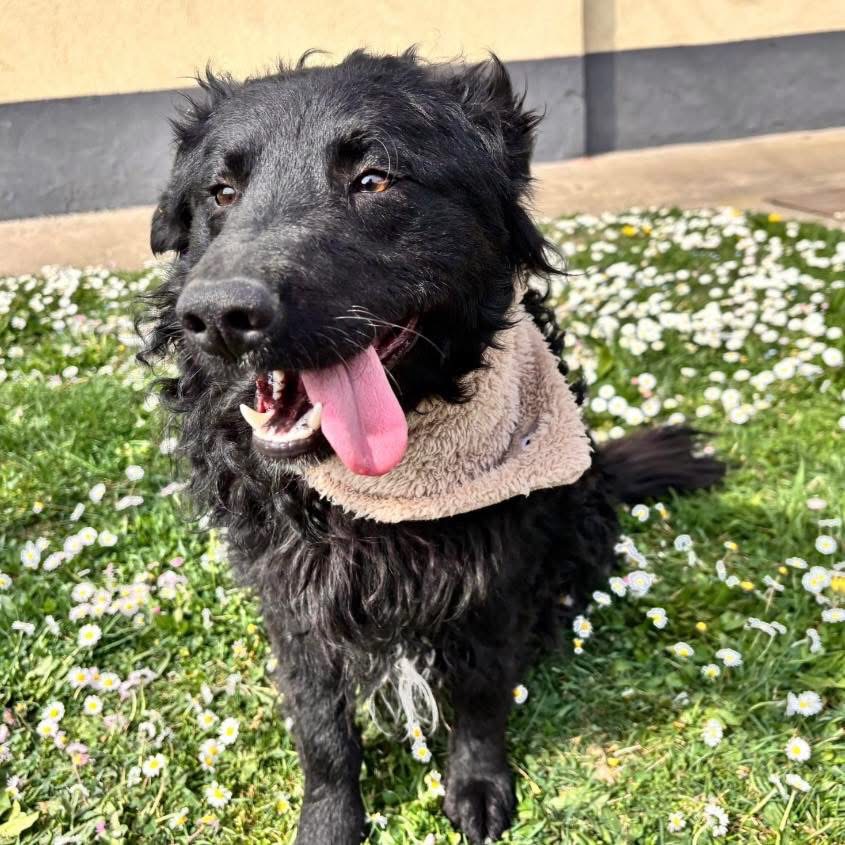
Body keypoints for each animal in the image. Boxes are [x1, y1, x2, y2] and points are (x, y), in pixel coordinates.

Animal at [140, 49, 723, 844]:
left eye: (373, 180)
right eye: (221, 192)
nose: (220, 316)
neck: (376, 493)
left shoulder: (496, 568)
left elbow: (481, 691)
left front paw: (476, 786)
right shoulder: (290, 592)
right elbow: (321, 728)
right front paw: (330, 819)